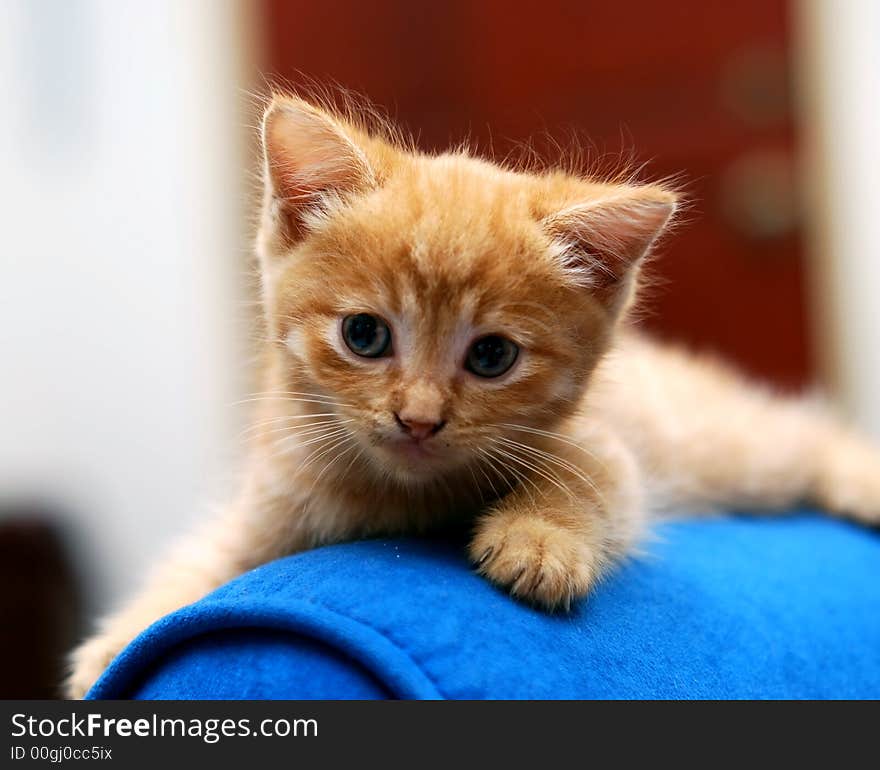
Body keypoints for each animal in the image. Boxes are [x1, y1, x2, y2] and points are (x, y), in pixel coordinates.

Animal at [65, 94, 880, 696]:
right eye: (364, 335)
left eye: (491, 356)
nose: (418, 419)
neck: (391, 495)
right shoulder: (267, 505)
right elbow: (205, 558)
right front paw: (121, 639)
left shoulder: (610, 446)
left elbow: (587, 476)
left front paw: (538, 538)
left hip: (724, 447)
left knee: (800, 433)